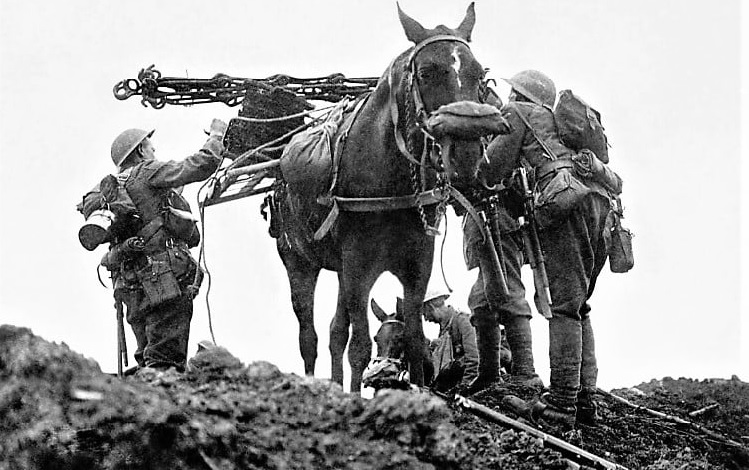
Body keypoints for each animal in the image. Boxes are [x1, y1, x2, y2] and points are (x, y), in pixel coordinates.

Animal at [272, 2, 500, 392]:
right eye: (426, 72)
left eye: (479, 74)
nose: (467, 153)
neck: (390, 181)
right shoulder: (358, 268)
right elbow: (361, 347)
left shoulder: (416, 267)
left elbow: (414, 340)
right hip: (299, 262)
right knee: (309, 337)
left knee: (335, 332)